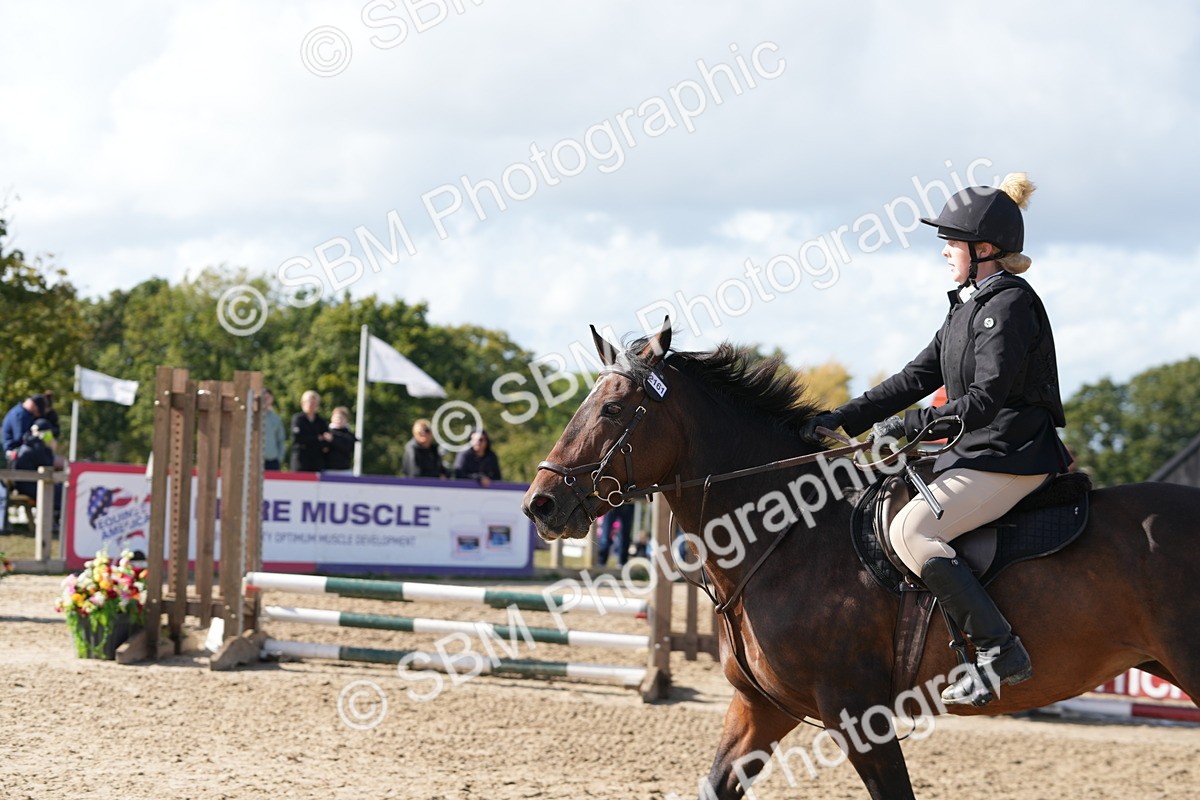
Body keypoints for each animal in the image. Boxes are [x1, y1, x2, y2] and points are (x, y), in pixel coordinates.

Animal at [522, 319, 1200, 800]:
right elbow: (716, 787)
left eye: (612, 409)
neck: (788, 539)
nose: (540, 503)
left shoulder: (859, 717)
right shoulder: (758, 709)